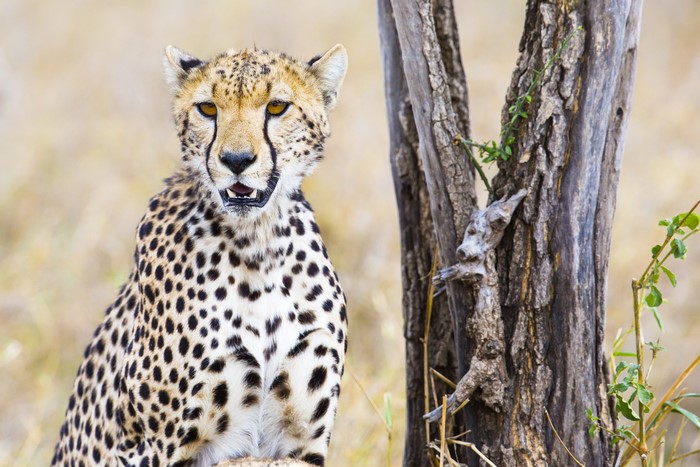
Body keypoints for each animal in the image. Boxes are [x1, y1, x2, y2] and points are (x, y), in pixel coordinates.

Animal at [51, 44, 349, 467]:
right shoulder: (154, 449)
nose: (237, 160)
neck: (258, 245)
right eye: (208, 108)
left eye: (277, 107)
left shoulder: (301, 445)